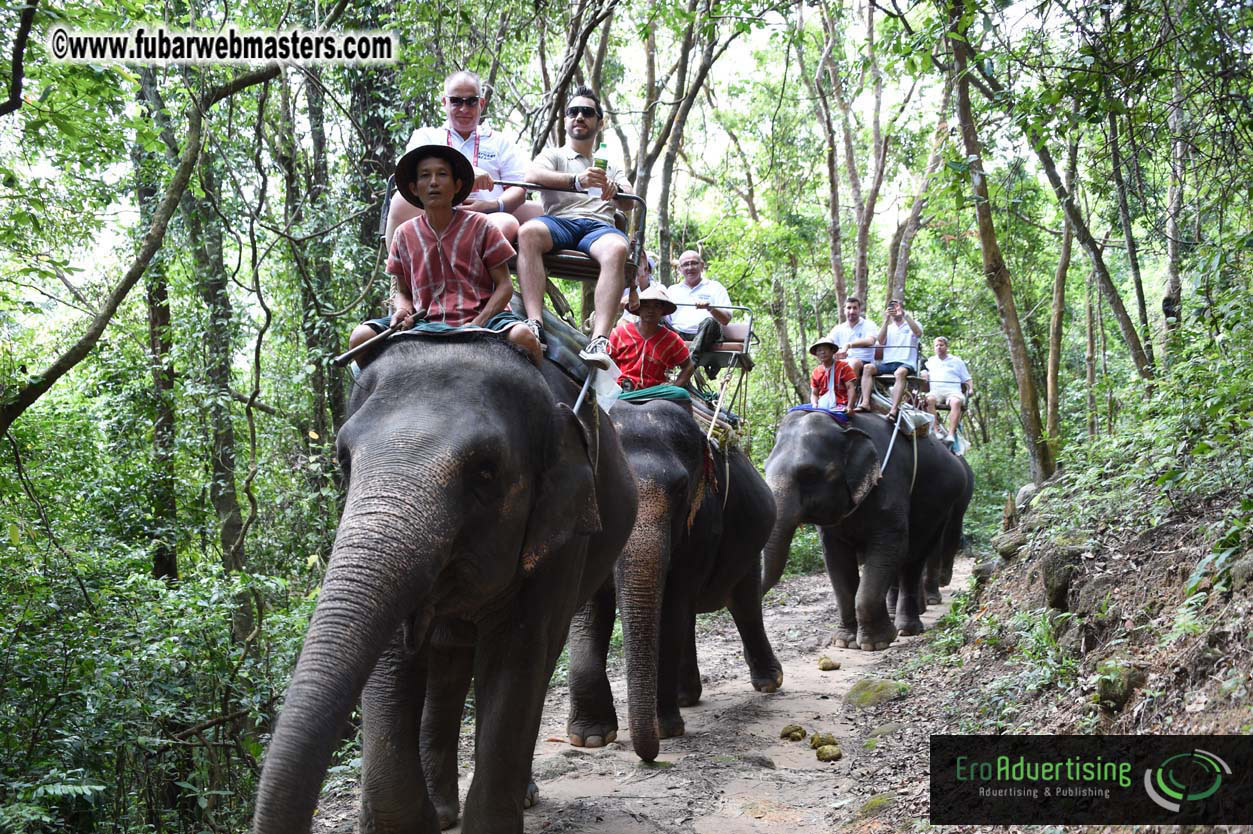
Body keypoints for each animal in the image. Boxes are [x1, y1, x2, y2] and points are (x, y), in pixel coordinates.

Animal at [251, 336, 637, 834]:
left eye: (487, 471)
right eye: (344, 460)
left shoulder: (562, 537)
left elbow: (516, 659)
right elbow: (396, 655)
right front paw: (415, 819)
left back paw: (530, 787)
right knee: (448, 661)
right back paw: (443, 809)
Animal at [565, 399, 781, 762]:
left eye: (681, 489)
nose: (648, 755)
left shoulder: (702, 524)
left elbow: (670, 608)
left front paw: (664, 730)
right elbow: (588, 611)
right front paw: (591, 737)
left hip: (749, 544)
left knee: (743, 603)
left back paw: (769, 682)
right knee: (691, 615)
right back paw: (686, 697)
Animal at [762, 411, 970, 650]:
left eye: (809, 473)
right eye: (764, 467)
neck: (842, 426)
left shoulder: (890, 483)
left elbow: (890, 547)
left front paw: (876, 643)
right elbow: (836, 560)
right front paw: (845, 641)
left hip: (942, 505)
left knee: (915, 557)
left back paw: (907, 628)